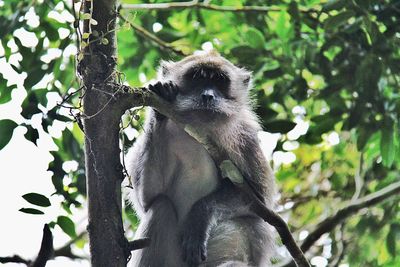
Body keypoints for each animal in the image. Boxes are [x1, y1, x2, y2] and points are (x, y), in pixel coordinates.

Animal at [127, 51, 276, 266]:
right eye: (197, 77)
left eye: (220, 81)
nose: (208, 95)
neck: (199, 128)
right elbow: (149, 198)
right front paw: (161, 104)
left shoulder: (245, 140)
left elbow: (260, 202)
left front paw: (199, 216)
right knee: (160, 206)